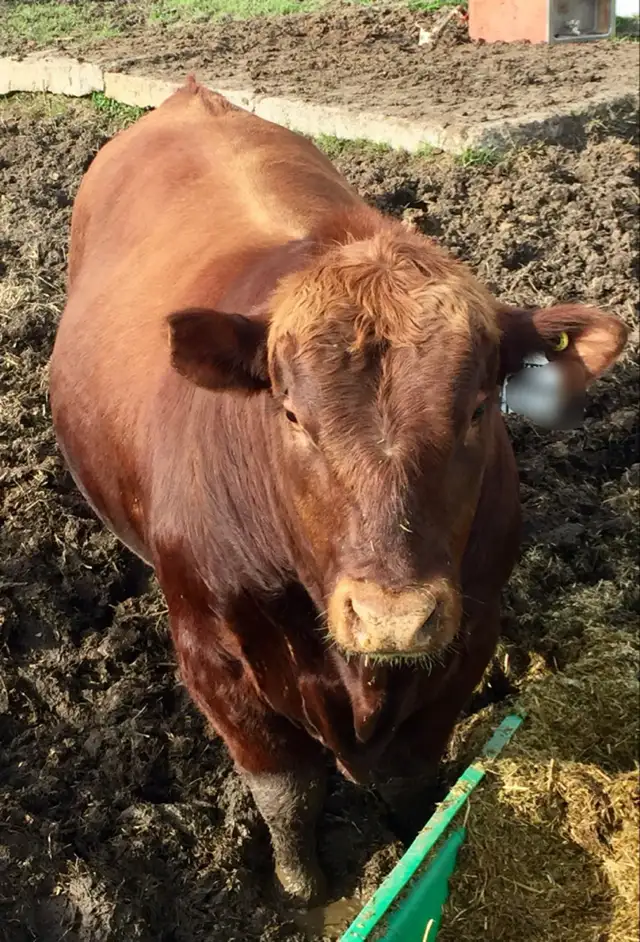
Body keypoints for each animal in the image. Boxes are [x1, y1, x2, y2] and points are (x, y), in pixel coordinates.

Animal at [49, 79, 628, 907]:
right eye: (292, 414)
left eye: (478, 409)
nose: (392, 617)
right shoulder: (212, 655)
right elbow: (287, 790)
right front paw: (302, 888)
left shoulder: (469, 631)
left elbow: (415, 774)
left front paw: (413, 846)